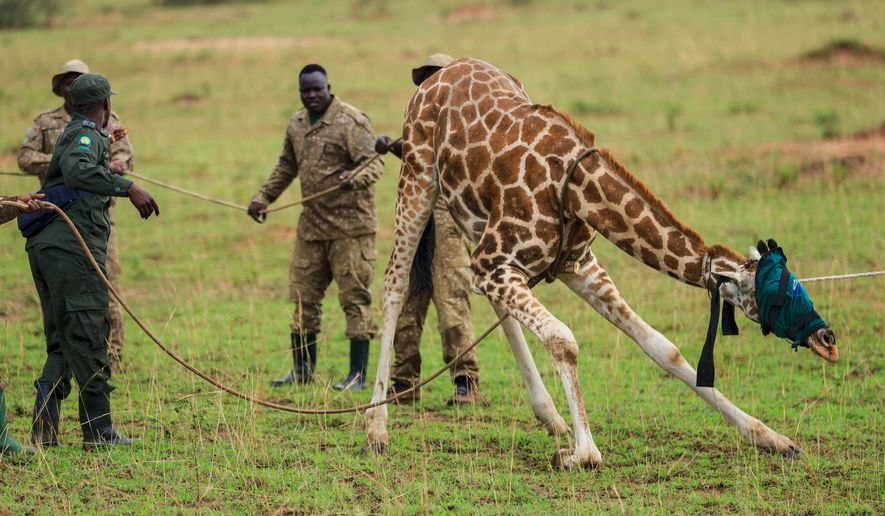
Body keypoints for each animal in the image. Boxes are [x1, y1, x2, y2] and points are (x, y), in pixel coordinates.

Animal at [366, 57, 838, 468]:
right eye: (779, 295)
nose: (828, 341)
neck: (576, 188)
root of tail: (435, 74)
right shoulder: (497, 262)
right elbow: (563, 339)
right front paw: (581, 453)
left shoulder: (576, 266)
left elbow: (663, 348)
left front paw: (773, 439)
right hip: (418, 179)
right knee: (394, 285)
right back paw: (376, 427)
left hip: (472, 218)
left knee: (490, 300)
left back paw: (551, 416)